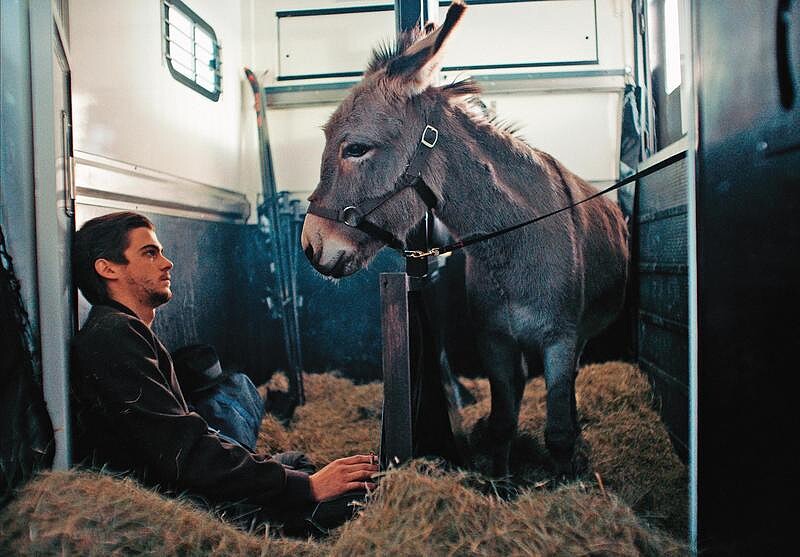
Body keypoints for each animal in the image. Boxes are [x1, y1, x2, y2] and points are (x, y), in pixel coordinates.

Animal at [300, 0, 629, 477]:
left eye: (356, 148)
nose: (310, 246)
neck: (513, 244)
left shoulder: (561, 339)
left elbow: (558, 433)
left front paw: (568, 477)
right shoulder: (493, 340)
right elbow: (502, 422)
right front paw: (498, 478)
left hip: (580, 335)